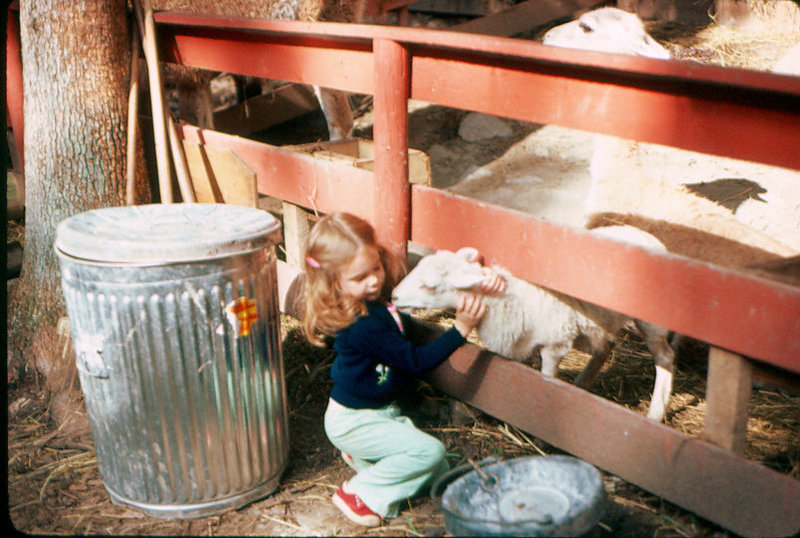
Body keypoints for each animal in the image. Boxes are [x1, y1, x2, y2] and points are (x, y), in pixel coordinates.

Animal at [392, 246, 676, 418]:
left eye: (428, 286)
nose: (393, 295)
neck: (512, 297)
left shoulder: (555, 344)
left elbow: (547, 380)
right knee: (605, 347)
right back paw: (582, 384)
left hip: (651, 321)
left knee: (665, 357)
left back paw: (655, 413)